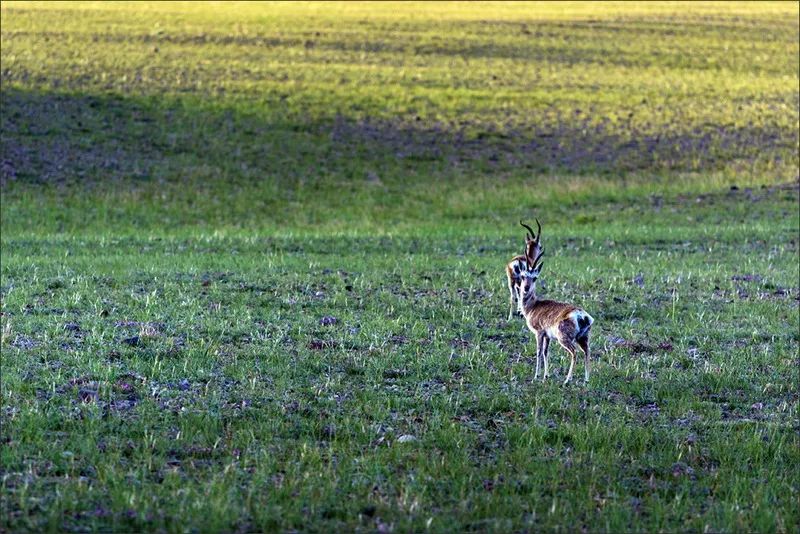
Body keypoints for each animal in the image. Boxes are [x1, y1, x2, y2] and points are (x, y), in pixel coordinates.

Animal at [520, 249, 592, 388]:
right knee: (587, 351)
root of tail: (583, 316)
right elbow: (545, 352)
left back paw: (567, 380)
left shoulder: (539, 332)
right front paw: (545, 376)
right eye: (522, 276)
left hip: (564, 339)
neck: (533, 306)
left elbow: (538, 352)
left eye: (535, 278)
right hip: (583, 338)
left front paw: (536, 376)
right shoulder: (548, 336)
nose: (526, 288)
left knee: (575, 353)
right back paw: (586, 380)